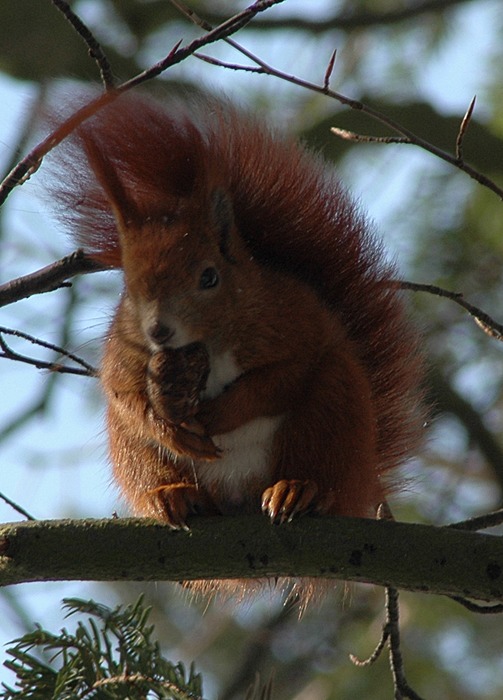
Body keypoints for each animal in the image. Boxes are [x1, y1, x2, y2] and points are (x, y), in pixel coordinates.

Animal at [51, 89, 424, 536]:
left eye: (209, 277)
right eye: (129, 281)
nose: (159, 331)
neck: (208, 345)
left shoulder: (292, 325)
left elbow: (281, 378)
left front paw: (220, 415)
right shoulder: (125, 353)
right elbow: (124, 393)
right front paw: (170, 429)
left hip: (333, 408)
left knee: (321, 466)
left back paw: (299, 490)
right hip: (133, 449)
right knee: (147, 461)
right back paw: (171, 495)